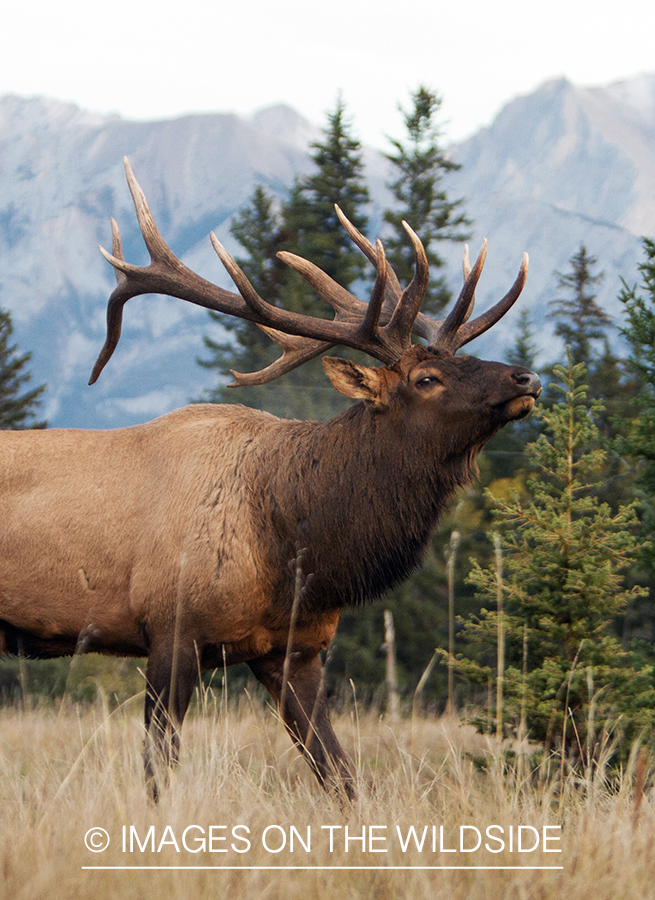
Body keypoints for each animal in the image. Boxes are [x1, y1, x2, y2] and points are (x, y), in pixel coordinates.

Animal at [1, 158, 544, 800]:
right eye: (427, 378)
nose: (526, 377)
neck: (293, 548)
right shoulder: (172, 627)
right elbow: (158, 770)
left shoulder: (295, 649)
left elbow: (340, 776)